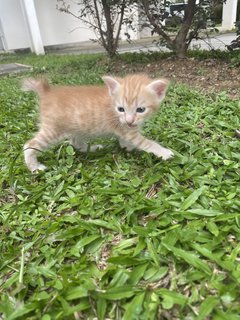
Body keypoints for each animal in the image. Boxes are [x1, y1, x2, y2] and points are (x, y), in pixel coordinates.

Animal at [22, 74, 172, 172]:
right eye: (121, 109)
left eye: (140, 110)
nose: (129, 120)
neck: (112, 103)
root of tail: (46, 92)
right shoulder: (125, 129)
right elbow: (147, 143)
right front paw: (164, 152)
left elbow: (125, 140)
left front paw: (127, 147)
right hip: (53, 129)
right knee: (29, 145)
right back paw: (34, 167)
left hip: (77, 127)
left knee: (75, 142)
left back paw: (92, 148)